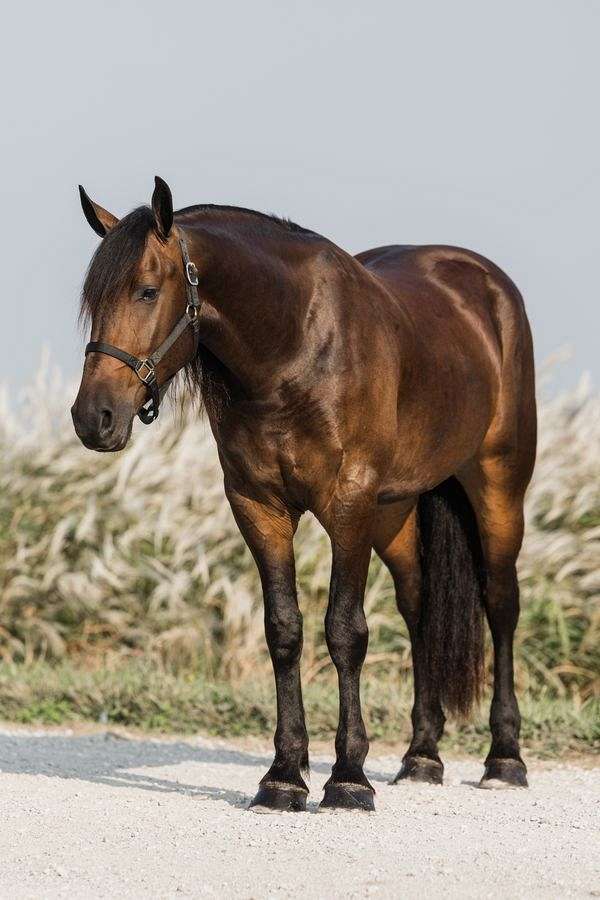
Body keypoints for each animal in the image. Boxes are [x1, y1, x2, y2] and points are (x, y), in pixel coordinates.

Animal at [72, 176, 536, 812]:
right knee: (418, 606)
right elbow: (284, 631)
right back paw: (421, 756)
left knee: (501, 603)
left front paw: (348, 777)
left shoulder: (349, 505)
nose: (93, 418)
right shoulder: (258, 506)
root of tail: (488, 288)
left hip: (497, 485)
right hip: (394, 512)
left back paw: (504, 758)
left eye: (146, 291)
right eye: (93, 300)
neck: (294, 349)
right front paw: (284, 776)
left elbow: (345, 631)